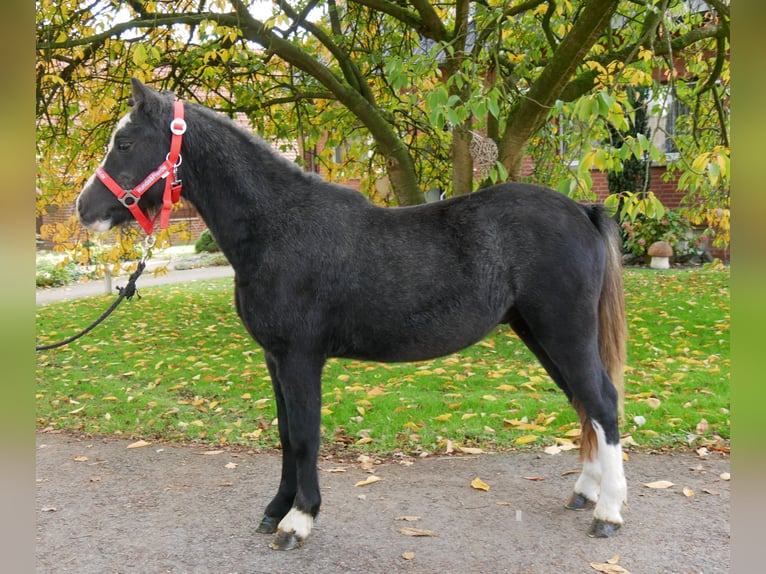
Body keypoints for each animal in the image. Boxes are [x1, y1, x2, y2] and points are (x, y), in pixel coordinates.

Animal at [78, 79, 632, 552]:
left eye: (125, 143)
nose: (85, 209)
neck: (278, 226)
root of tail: (584, 210)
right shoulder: (275, 359)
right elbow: (286, 433)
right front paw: (275, 511)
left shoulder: (301, 358)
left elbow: (305, 435)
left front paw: (298, 521)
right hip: (538, 332)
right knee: (584, 404)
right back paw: (585, 491)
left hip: (564, 332)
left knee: (602, 403)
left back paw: (607, 513)